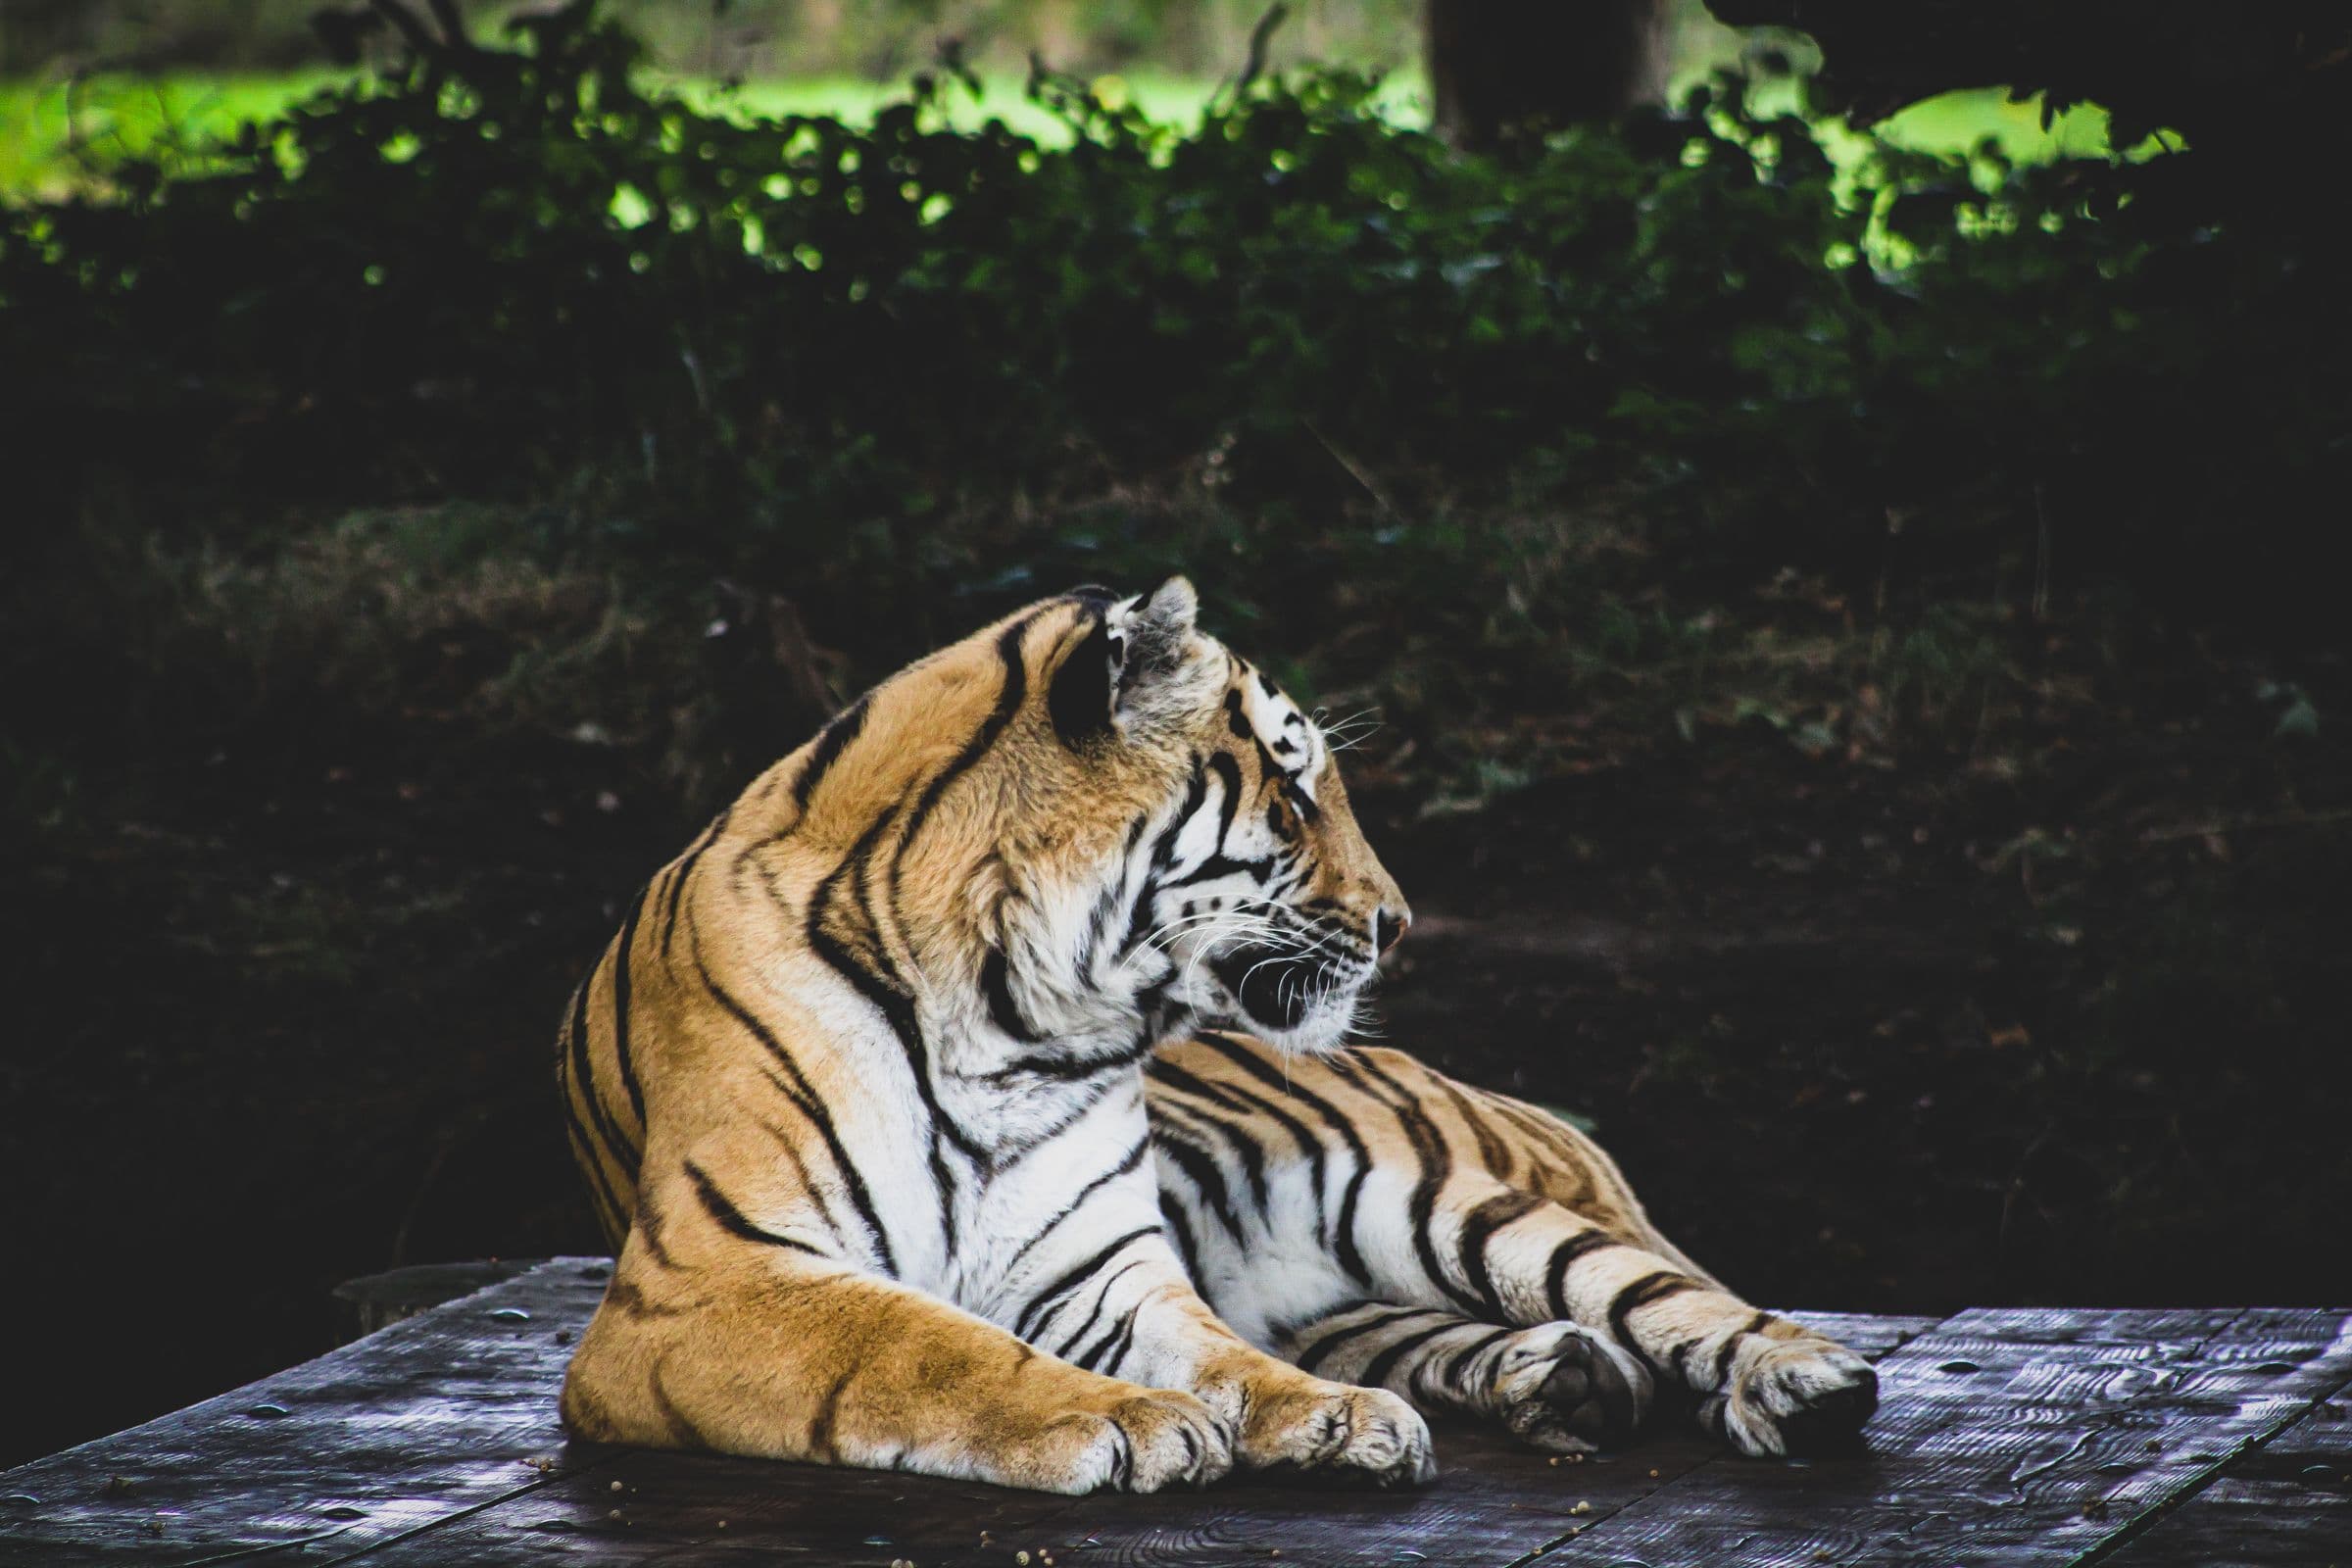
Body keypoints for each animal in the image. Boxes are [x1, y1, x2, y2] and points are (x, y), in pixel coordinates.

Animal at [555, 578, 1878, 1495]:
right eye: (1293, 794)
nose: (1401, 921)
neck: (1011, 1015)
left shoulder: (1097, 1268)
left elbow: (1221, 1357)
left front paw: (1312, 1416)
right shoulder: (706, 1282)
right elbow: (921, 1343)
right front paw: (1122, 1419)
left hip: (1436, 1200)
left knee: (1673, 1298)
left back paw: (1800, 1381)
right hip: (1353, 1287)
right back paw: (1562, 1380)